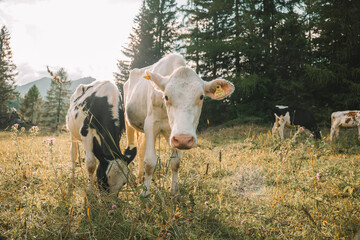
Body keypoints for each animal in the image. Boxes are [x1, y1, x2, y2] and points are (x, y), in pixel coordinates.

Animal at [125, 53, 235, 196]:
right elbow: (149, 162)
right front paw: (145, 194)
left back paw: (139, 176)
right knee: (132, 148)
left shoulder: (173, 134)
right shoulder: (150, 124)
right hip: (128, 122)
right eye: (166, 96)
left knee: (141, 149)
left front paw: (174, 192)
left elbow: (175, 162)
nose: (184, 139)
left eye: (201, 97)